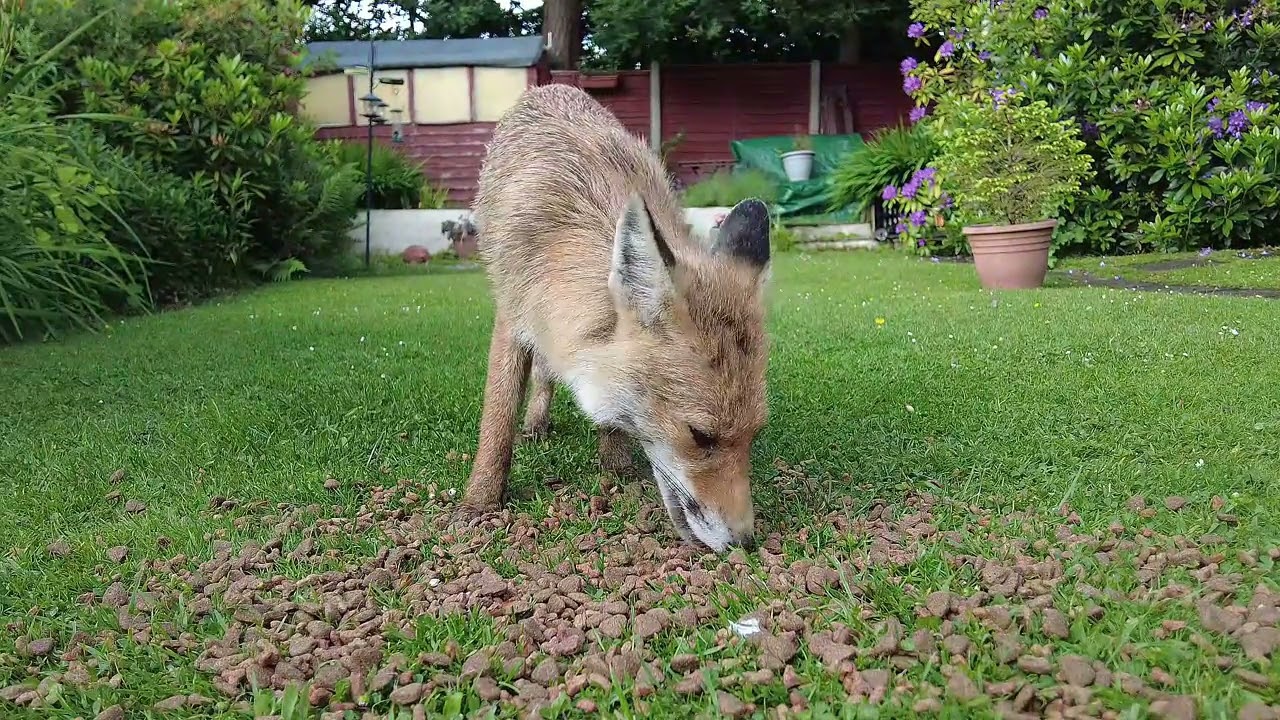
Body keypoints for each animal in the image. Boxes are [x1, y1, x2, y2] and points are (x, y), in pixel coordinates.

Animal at [459, 83, 772, 552]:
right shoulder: (514, 310)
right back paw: (535, 421)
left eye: (755, 434)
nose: (744, 543)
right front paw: (480, 499)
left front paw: (616, 465)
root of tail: (552, 87)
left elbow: (614, 412)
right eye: (701, 436)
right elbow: (497, 417)